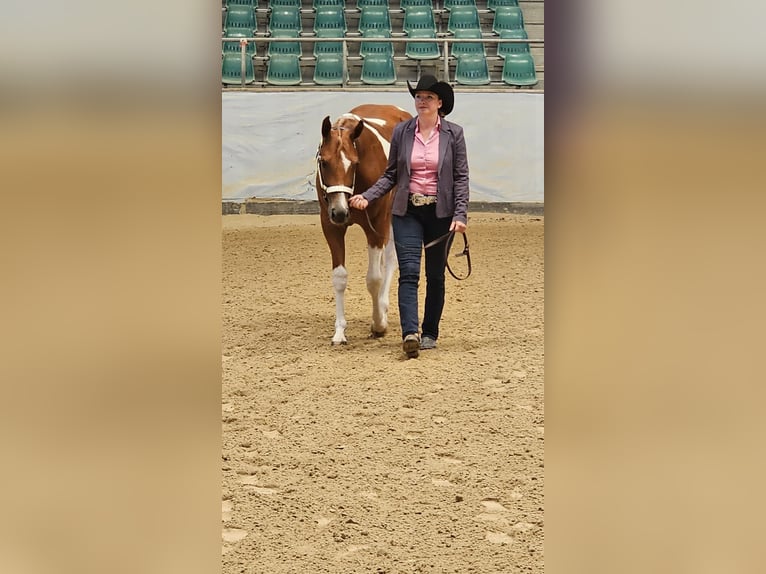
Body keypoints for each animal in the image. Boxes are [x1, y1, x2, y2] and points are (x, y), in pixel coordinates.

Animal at [315, 104, 413, 345]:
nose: (340, 212)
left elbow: (374, 279)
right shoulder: (331, 226)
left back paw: (383, 308)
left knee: (390, 260)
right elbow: (339, 277)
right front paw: (340, 332)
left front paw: (379, 324)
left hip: (390, 219)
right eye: (323, 162)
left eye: (354, 163)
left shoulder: (376, 227)